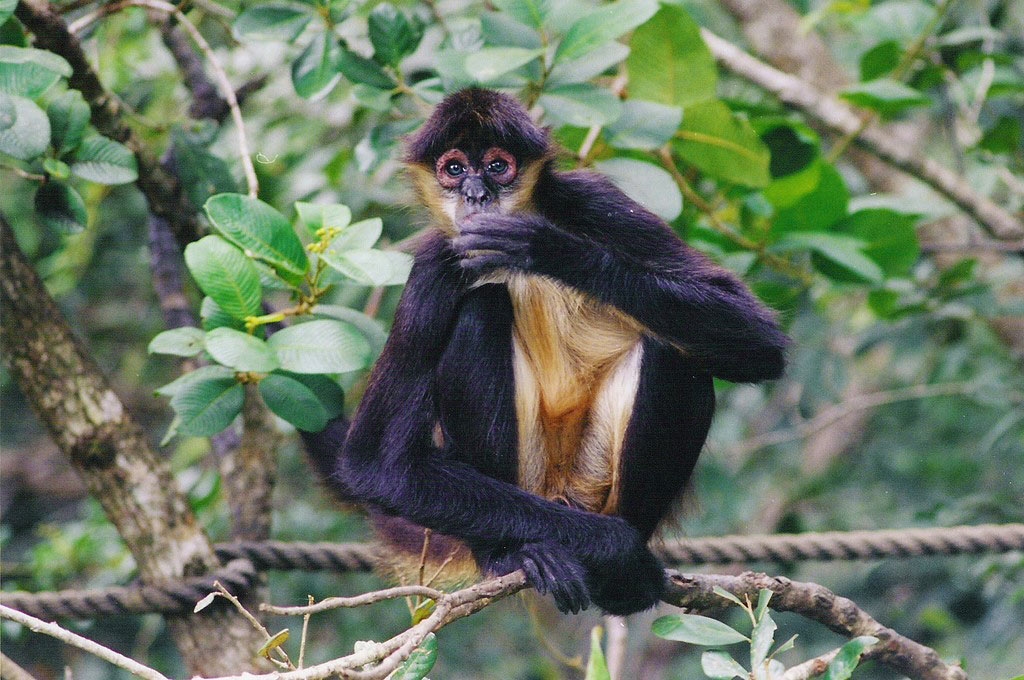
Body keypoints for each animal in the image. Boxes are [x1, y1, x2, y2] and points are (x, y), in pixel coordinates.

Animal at [299, 86, 786, 614]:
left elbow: (760, 339)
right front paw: (612, 545)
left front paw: (544, 247)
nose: (476, 195)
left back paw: (620, 571)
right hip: (526, 483)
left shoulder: (594, 199)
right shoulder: (436, 262)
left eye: (497, 166)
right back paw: (521, 555)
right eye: (454, 169)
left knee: (671, 351)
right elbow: (374, 466)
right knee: (482, 309)